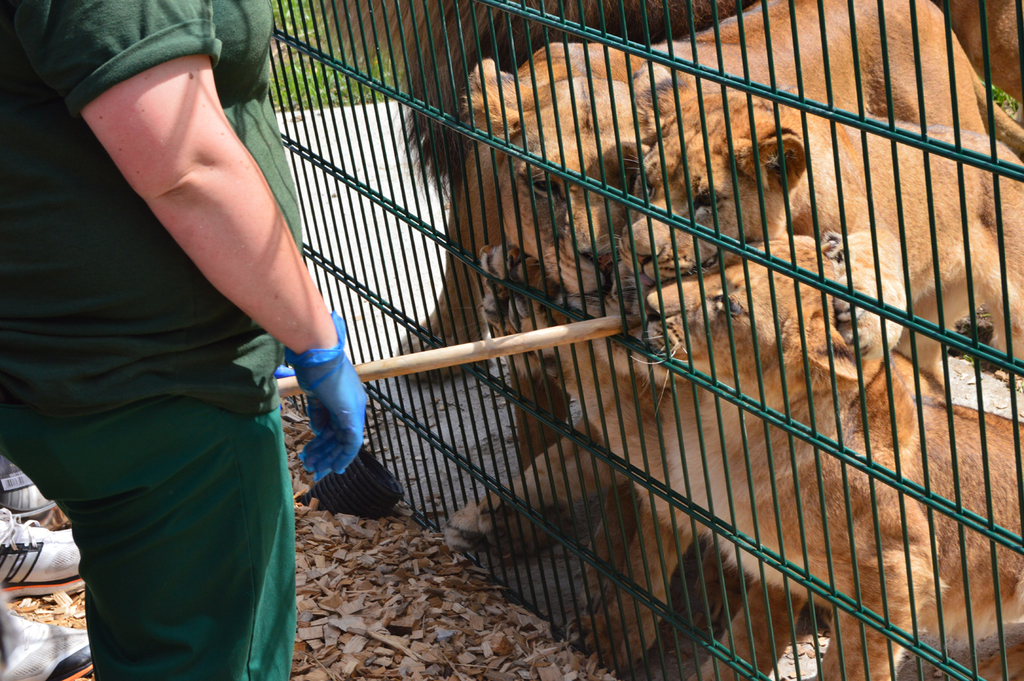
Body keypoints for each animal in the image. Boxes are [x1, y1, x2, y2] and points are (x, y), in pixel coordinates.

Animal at [626, 84, 1024, 376]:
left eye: (705, 199)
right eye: (647, 184)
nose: (639, 252)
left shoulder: (867, 222)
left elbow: (877, 257)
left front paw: (864, 320)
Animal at [647, 233, 1024, 679]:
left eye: (732, 306)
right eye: (717, 266)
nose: (650, 306)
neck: (732, 426)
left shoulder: (897, 572)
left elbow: (856, 664)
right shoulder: (780, 568)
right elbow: (747, 636)